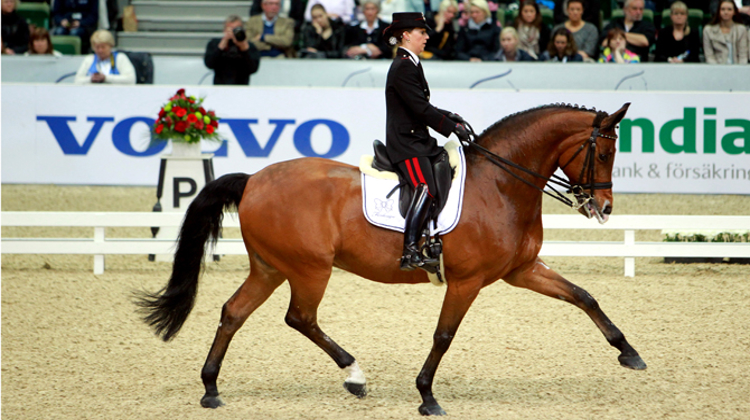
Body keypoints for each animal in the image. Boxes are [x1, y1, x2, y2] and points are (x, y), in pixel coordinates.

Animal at [138, 102, 648, 416]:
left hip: (271, 267)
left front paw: (629, 352)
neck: (501, 184)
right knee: (300, 318)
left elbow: (583, 296)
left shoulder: (521, 271)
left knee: (233, 312)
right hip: (309, 269)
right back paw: (354, 375)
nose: (604, 208)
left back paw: (210, 388)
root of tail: (253, 180)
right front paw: (427, 397)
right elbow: (444, 335)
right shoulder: (467, 281)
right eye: (604, 151)